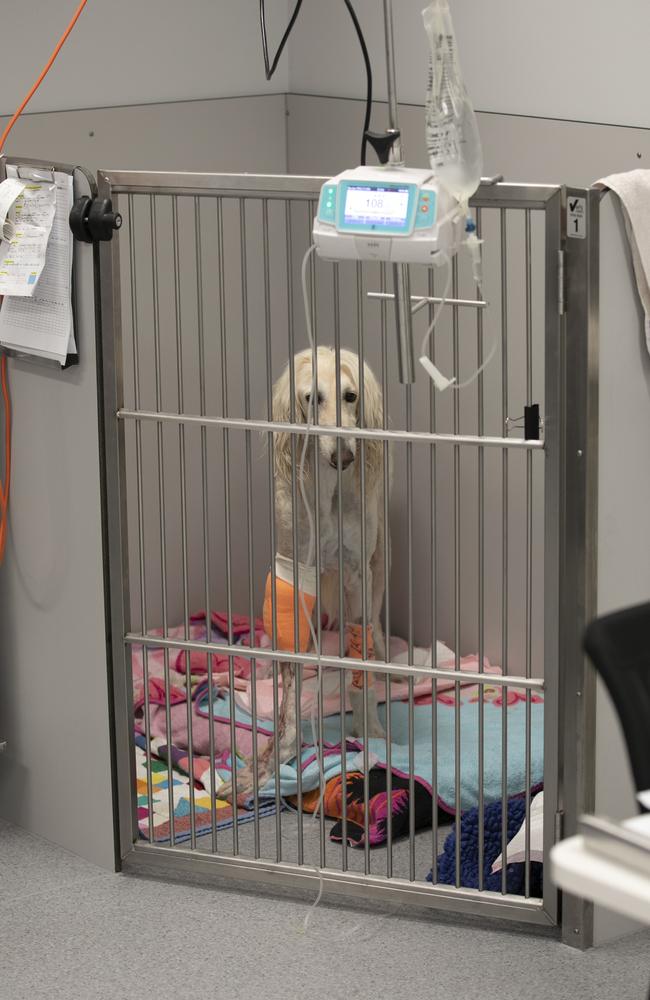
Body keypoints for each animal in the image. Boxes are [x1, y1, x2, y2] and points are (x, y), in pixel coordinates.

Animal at [220, 346, 388, 804]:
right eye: (313, 398)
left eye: (351, 396)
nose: (344, 457)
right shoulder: (294, 572)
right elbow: (290, 692)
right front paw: (267, 764)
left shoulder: (359, 577)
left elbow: (359, 661)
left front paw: (370, 730)